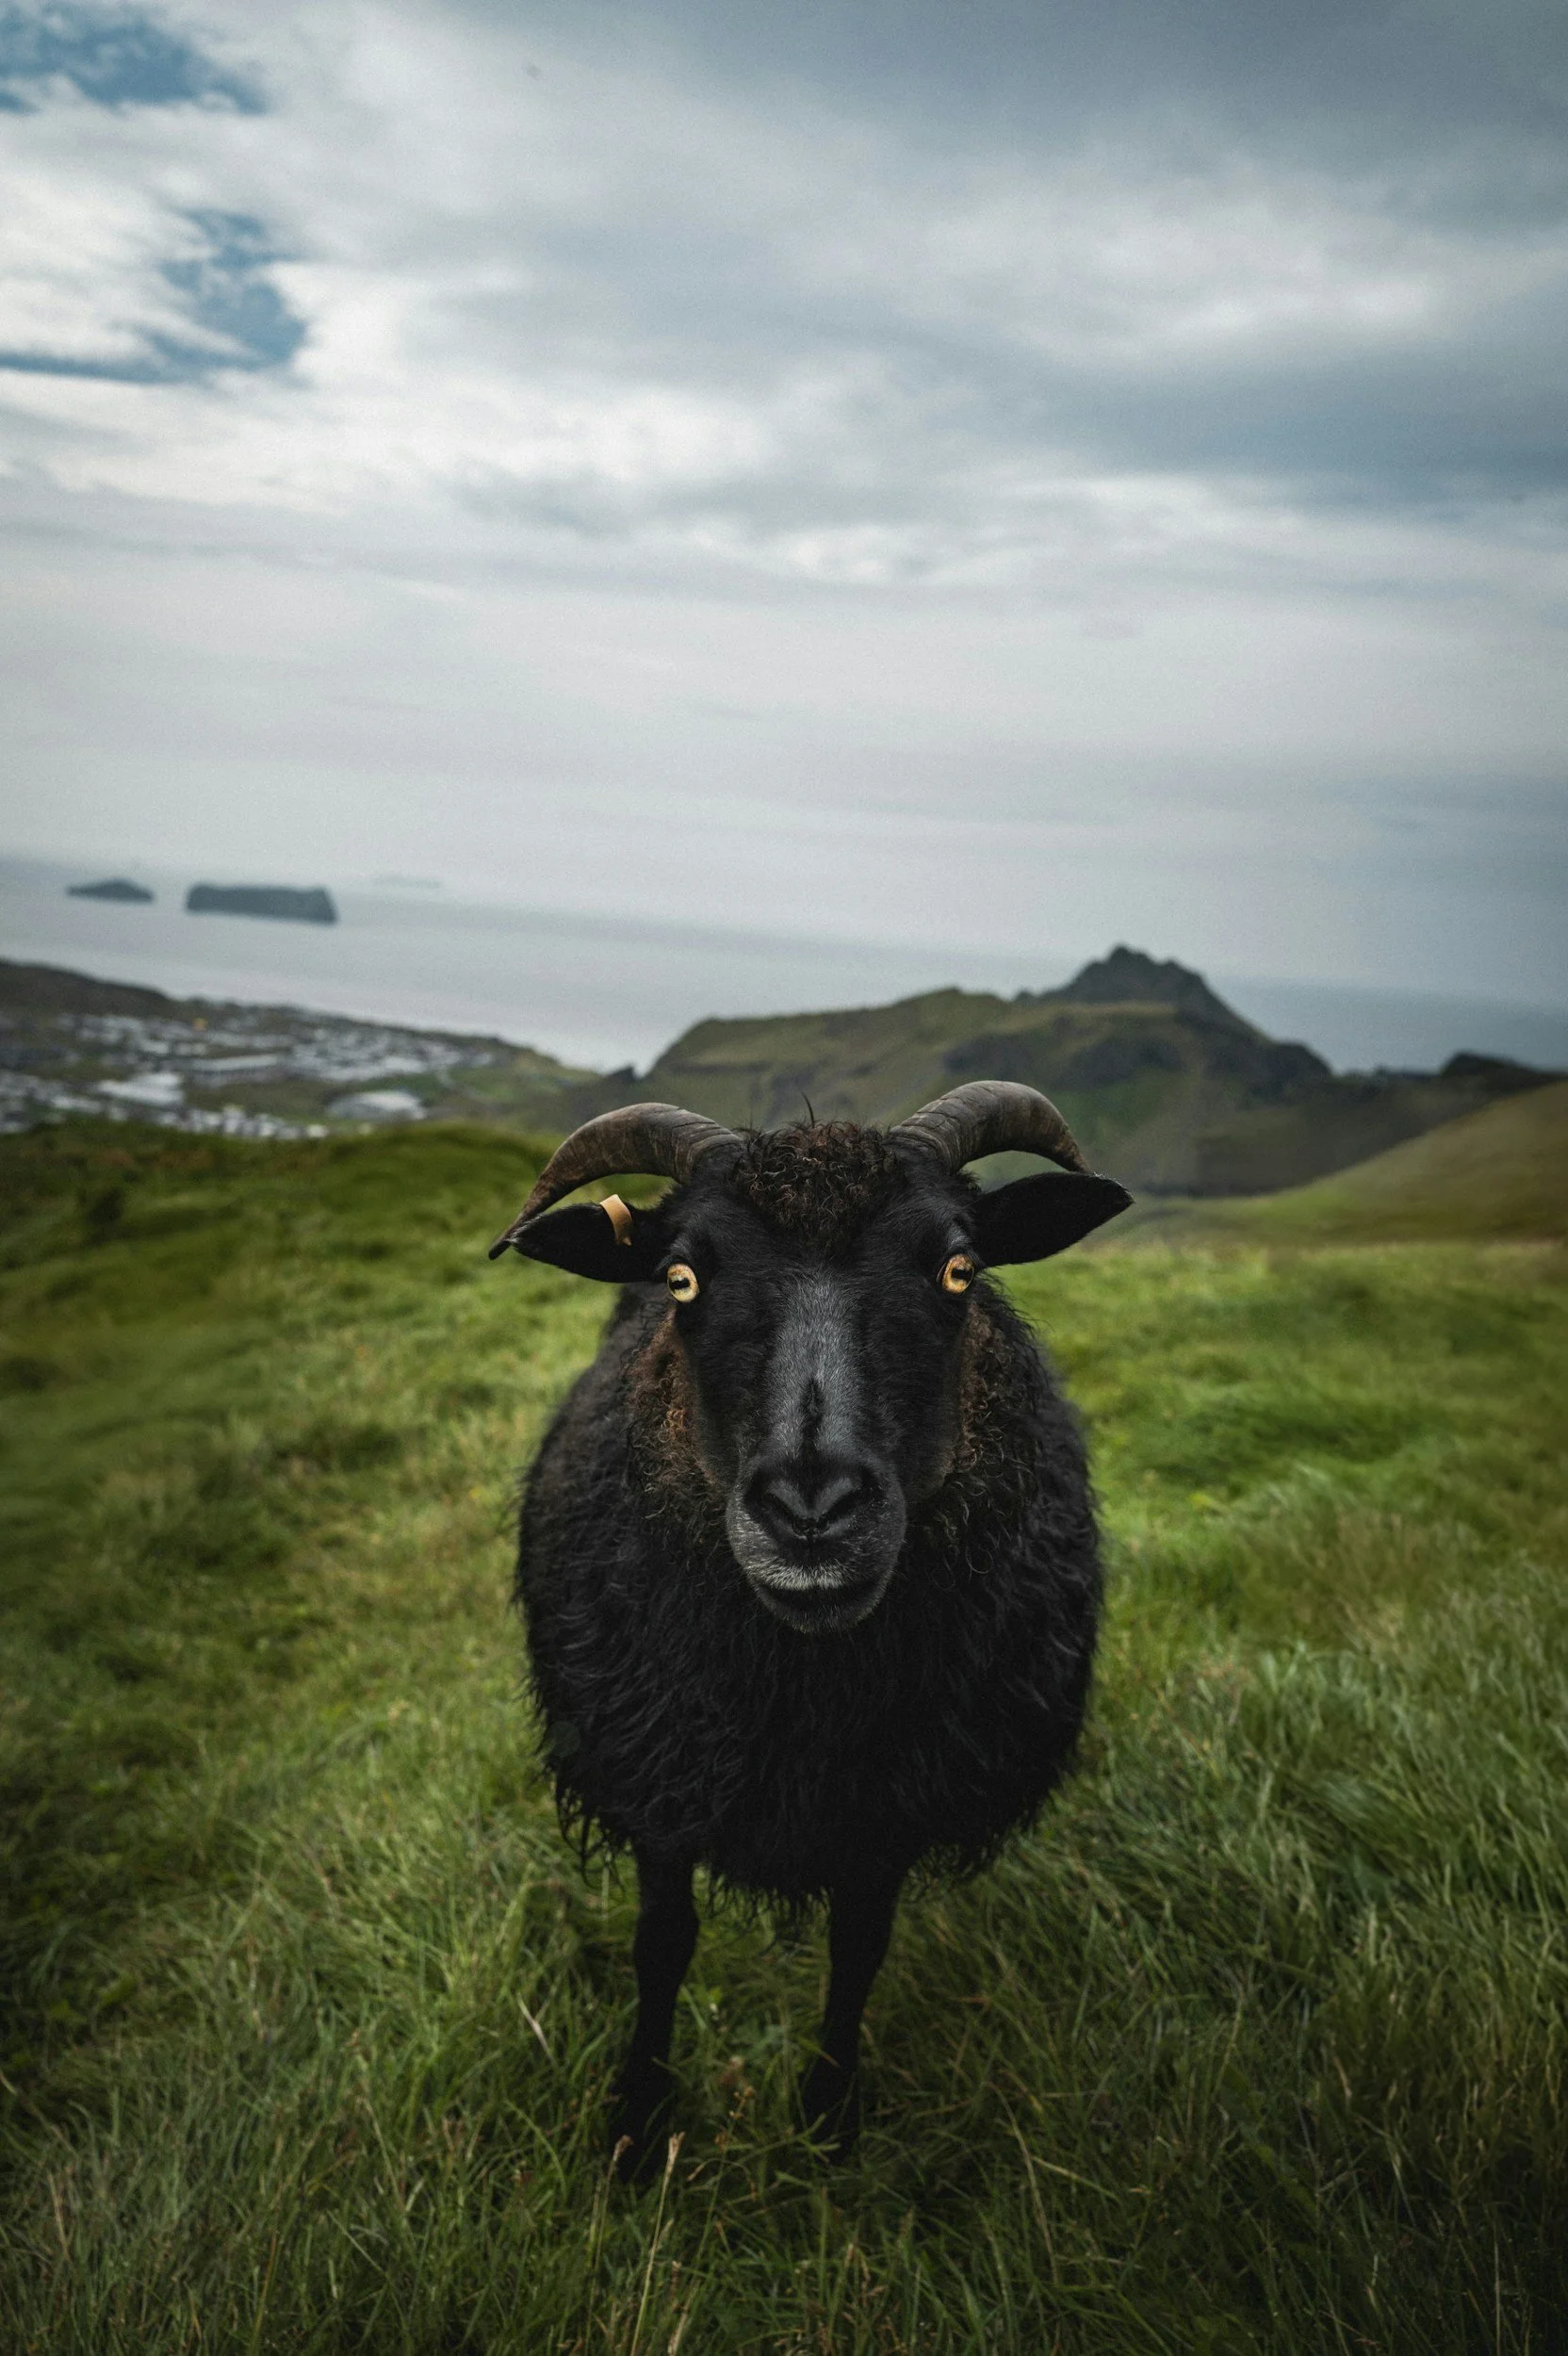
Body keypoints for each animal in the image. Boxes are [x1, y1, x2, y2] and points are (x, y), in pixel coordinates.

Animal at [489, 1083, 1130, 2172]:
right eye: (681, 1276)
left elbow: (857, 1950)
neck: (806, 1693)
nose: (812, 1509)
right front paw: (638, 2122)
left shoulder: (886, 1812)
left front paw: (829, 2119)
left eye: (958, 1267)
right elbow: (662, 1945)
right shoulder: (660, 1782)